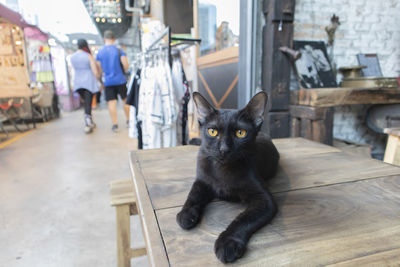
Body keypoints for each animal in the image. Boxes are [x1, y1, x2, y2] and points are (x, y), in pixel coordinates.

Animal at [177, 91, 280, 264]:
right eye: (212, 131)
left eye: (240, 133)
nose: (224, 149)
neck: (223, 169)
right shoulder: (202, 180)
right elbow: (193, 195)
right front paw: (186, 214)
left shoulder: (264, 199)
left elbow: (243, 219)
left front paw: (228, 243)